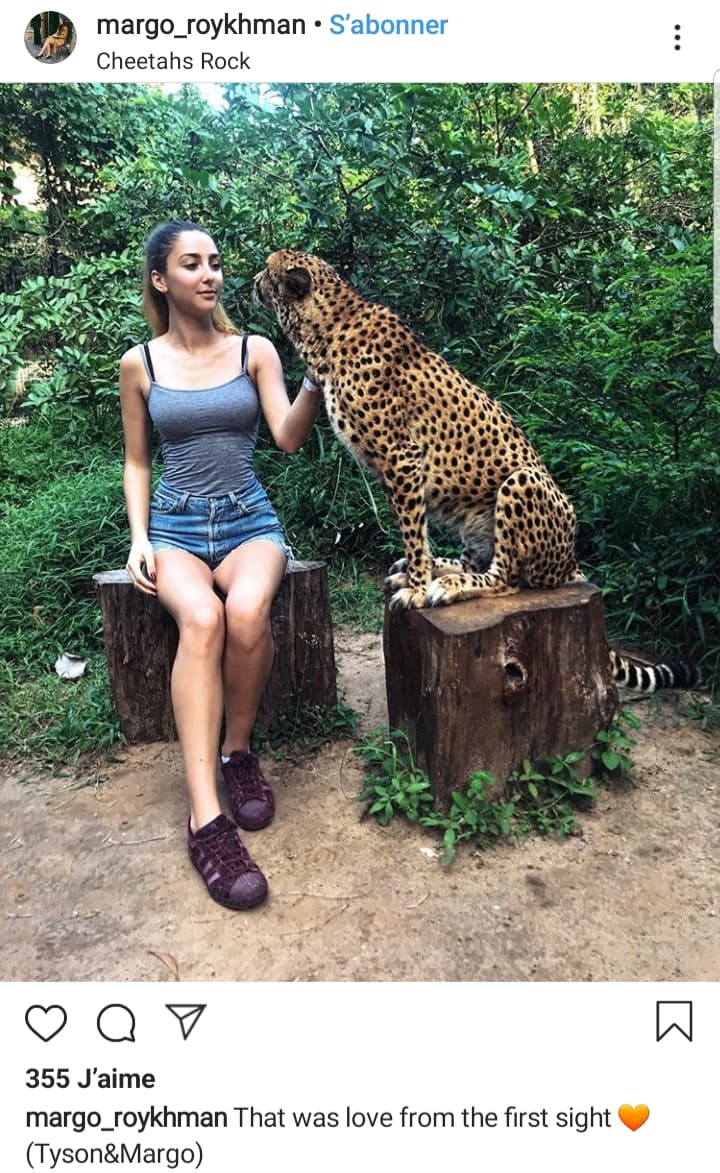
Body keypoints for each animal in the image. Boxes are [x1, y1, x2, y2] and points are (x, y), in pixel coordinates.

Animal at [254, 249, 701, 693]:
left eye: (268, 268)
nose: (255, 280)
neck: (330, 327)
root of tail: (569, 561)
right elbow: (415, 534)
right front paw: (417, 574)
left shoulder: (402, 456)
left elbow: (414, 532)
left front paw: (418, 588)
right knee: (480, 563)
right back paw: (440, 569)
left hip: (522, 481)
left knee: (506, 578)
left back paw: (446, 585)